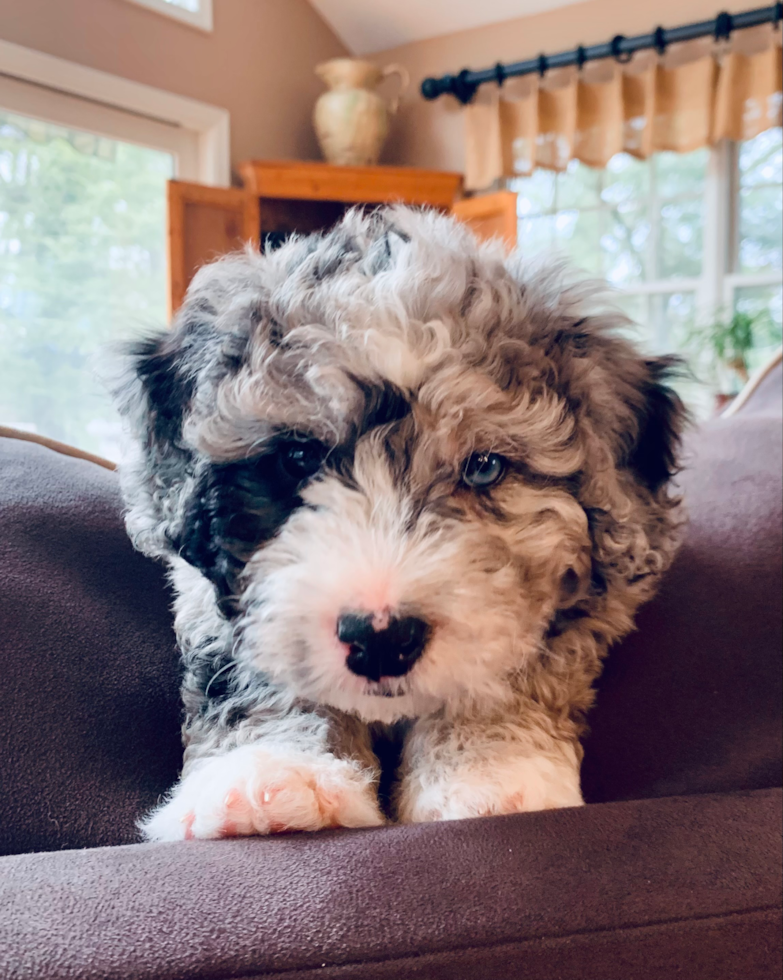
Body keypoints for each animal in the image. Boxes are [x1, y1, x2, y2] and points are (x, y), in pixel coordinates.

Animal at [116, 203, 688, 840]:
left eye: (485, 466)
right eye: (298, 458)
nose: (381, 638)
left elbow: (511, 673)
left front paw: (486, 775)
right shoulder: (213, 599)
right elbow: (247, 671)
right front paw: (272, 775)